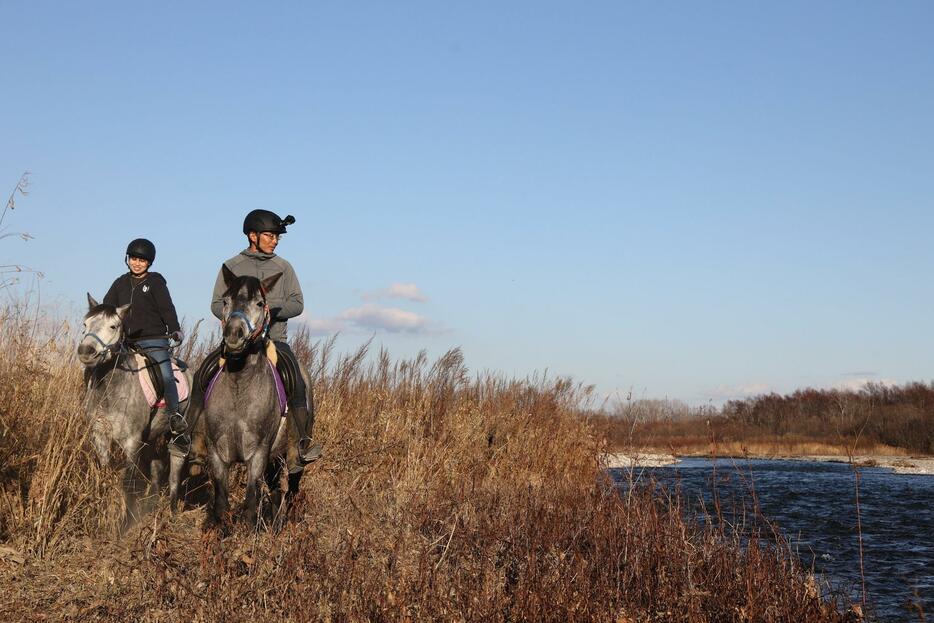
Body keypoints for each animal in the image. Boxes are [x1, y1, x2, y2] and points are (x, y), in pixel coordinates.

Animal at [79, 298, 193, 528]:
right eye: (85, 324)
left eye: (113, 326)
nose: (86, 351)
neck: (111, 388)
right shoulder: (100, 436)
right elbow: (105, 473)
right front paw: (101, 512)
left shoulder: (132, 441)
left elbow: (129, 482)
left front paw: (123, 524)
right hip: (151, 437)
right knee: (158, 466)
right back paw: (152, 505)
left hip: (177, 432)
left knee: (175, 467)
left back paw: (171, 510)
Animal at [184, 268, 310, 532]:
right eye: (225, 301)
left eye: (260, 303)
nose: (234, 334)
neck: (240, 385)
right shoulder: (217, 453)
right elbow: (221, 502)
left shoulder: (258, 453)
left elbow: (251, 500)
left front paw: (250, 533)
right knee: (276, 491)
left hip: (292, 456)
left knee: (291, 489)